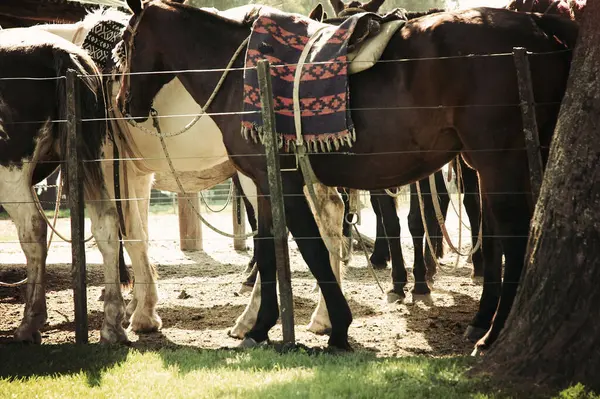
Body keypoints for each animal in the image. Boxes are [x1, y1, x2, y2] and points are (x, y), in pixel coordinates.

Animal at [0, 28, 126, 344]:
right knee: (107, 224)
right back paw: (112, 326)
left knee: (33, 228)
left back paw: (30, 322)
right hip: (92, 156)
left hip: (9, 174)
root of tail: (57, 51)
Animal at [35, 7, 344, 340]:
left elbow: (130, 236)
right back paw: (323, 316)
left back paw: (252, 320)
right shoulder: (137, 174)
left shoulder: (110, 167)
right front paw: (139, 304)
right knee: (330, 216)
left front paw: (142, 316)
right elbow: (140, 236)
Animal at [118, 0, 576, 350]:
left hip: (498, 161)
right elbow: (268, 251)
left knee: (514, 235)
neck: (241, 75)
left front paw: (336, 328)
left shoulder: (283, 182)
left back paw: (492, 332)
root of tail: (536, 26)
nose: (123, 103)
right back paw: (484, 321)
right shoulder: (265, 184)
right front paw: (262, 327)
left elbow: (311, 250)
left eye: (126, 43)